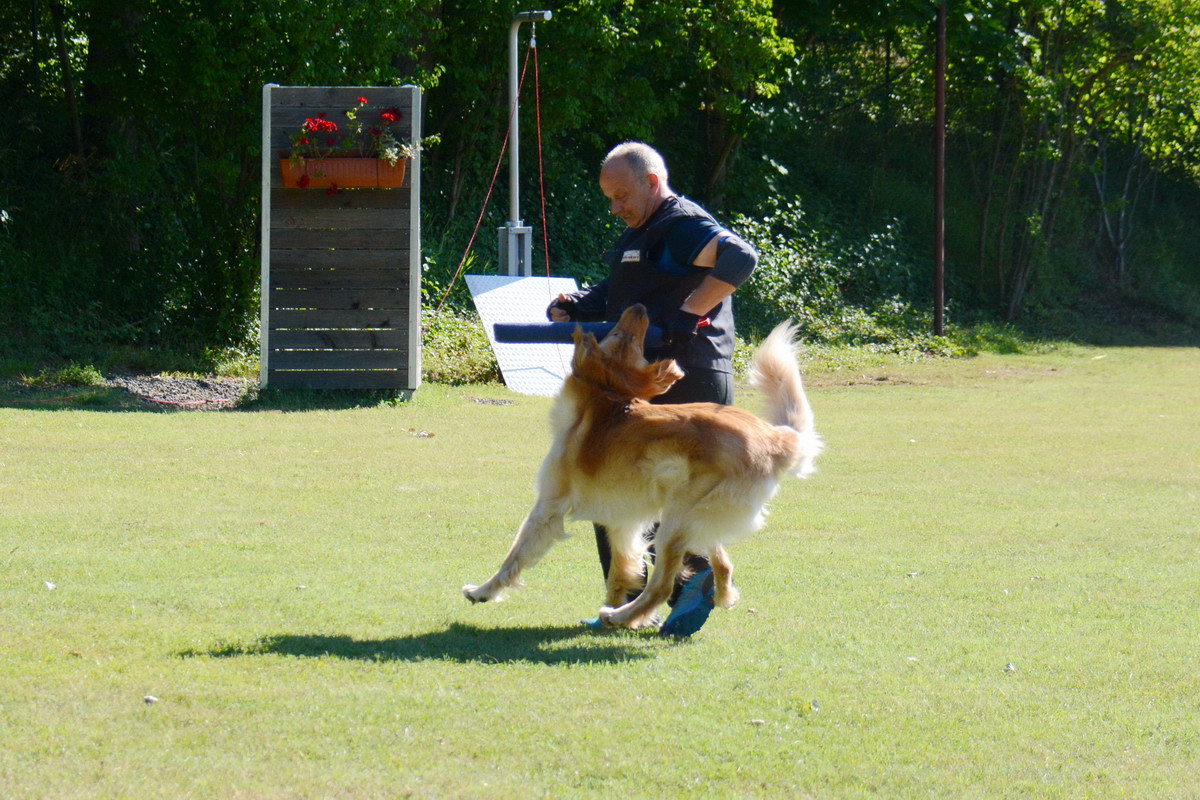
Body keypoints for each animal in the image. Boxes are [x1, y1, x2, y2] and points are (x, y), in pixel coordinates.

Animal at [463, 303, 820, 628]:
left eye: (619, 334)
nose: (640, 306)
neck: (604, 396)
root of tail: (774, 437)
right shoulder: (624, 520)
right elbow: (621, 569)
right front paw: (617, 607)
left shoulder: (548, 507)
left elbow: (515, 556)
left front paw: (483, 591)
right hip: (694, 517)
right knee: (722, 564)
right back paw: (717, 597)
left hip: (675, 520)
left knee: (662, 586)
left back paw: (619, 616)